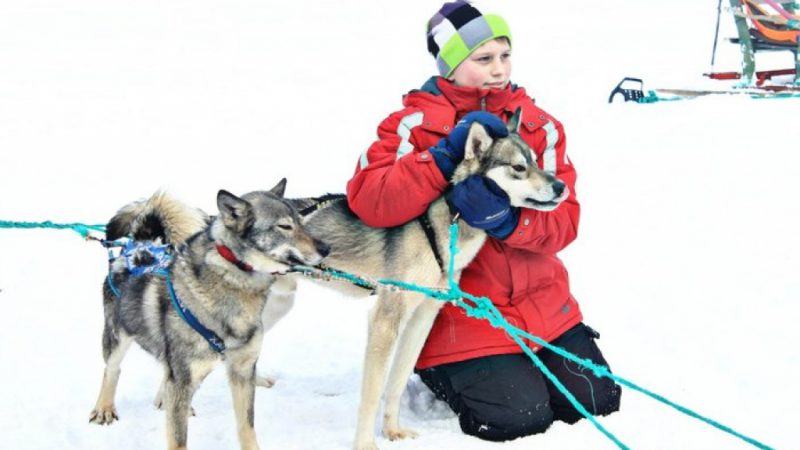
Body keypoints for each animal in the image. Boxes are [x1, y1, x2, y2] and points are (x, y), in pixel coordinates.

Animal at [91, 180, 332, 450]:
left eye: (301, 222)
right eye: (285, 226)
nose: (327, 248)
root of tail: (140, 244)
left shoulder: (242, 370)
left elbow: (246, 426)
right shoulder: (183, 377)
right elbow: (178, 440)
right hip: (117, 336)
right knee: (112, 369)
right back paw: (104, 408)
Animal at [276, 110, 568, 450]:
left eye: (536, 160)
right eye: (518, 167)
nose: (561, 185)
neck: (446, 223)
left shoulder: (423, 316)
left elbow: (397, 382)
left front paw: (393, 431)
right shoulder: (386, 319)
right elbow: (372, 394)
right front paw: (365, 444)